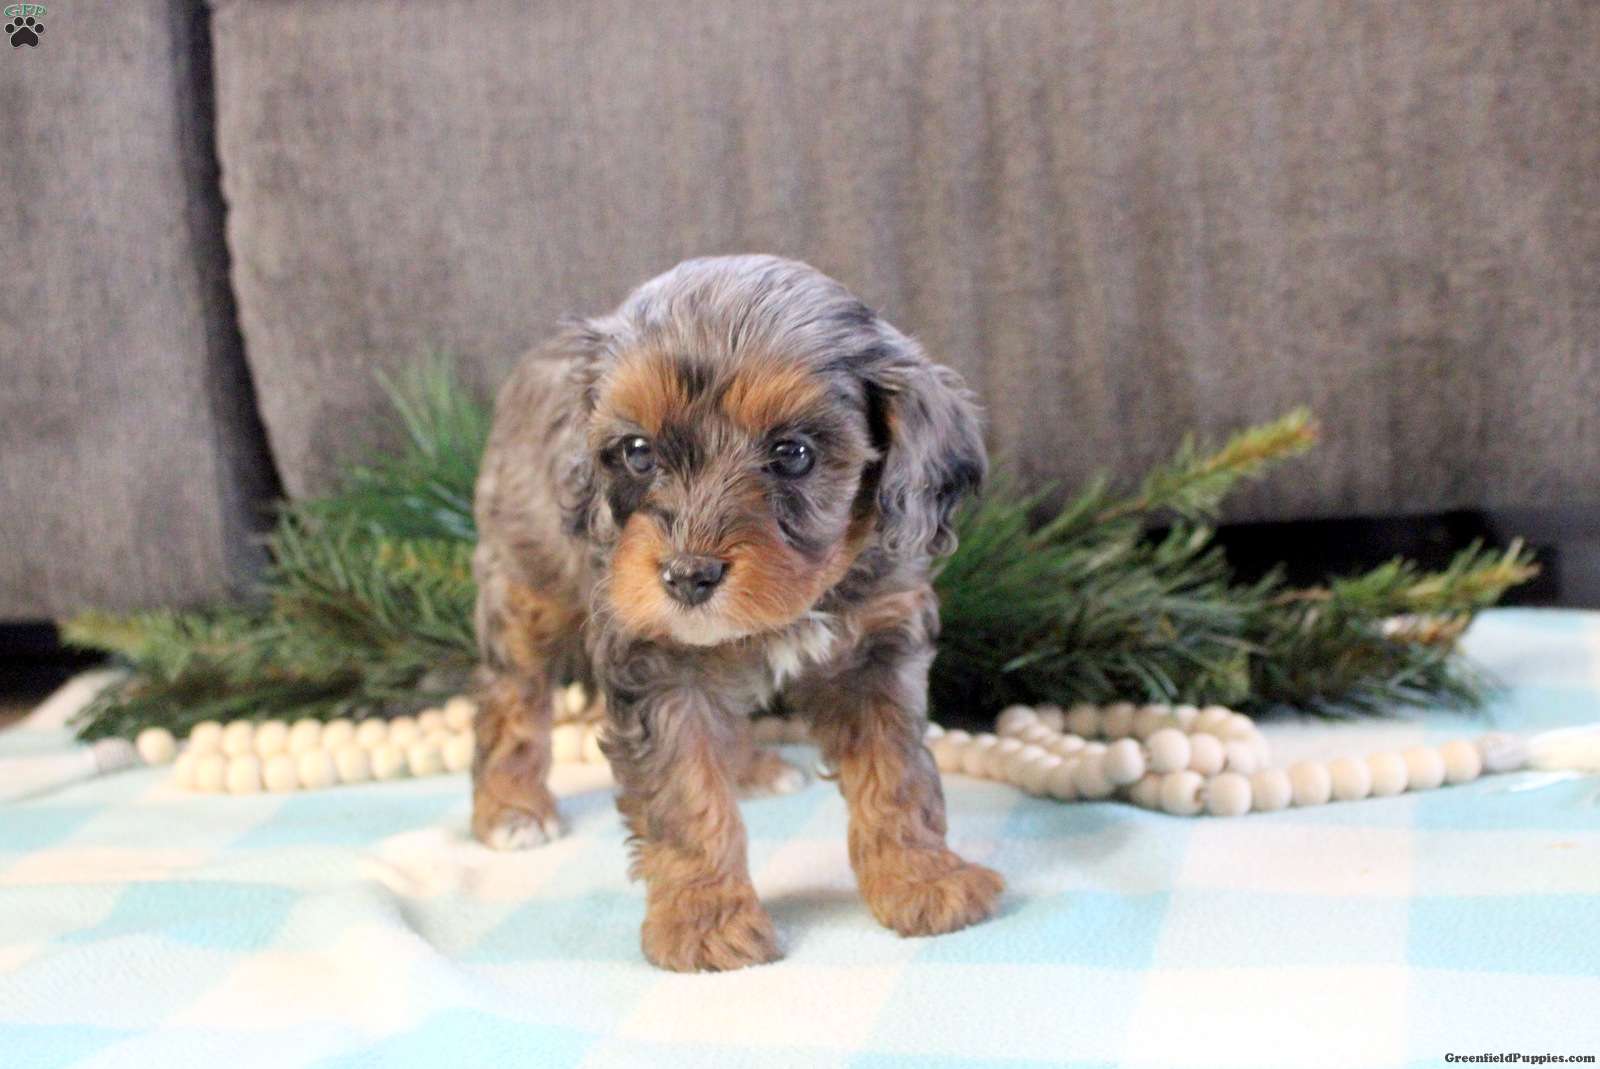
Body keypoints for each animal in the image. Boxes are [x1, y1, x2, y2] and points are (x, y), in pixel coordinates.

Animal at [470, 254, 1003, 971]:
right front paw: (706, 919)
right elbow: (687, 791)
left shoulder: (878, 649)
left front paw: (922, 877)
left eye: (793, 453)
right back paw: (511, 807)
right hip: (525, 582)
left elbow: (896, 773)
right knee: (512, 696)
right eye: (637, 451)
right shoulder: (657, 661)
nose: (687, 576)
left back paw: (750, 769)